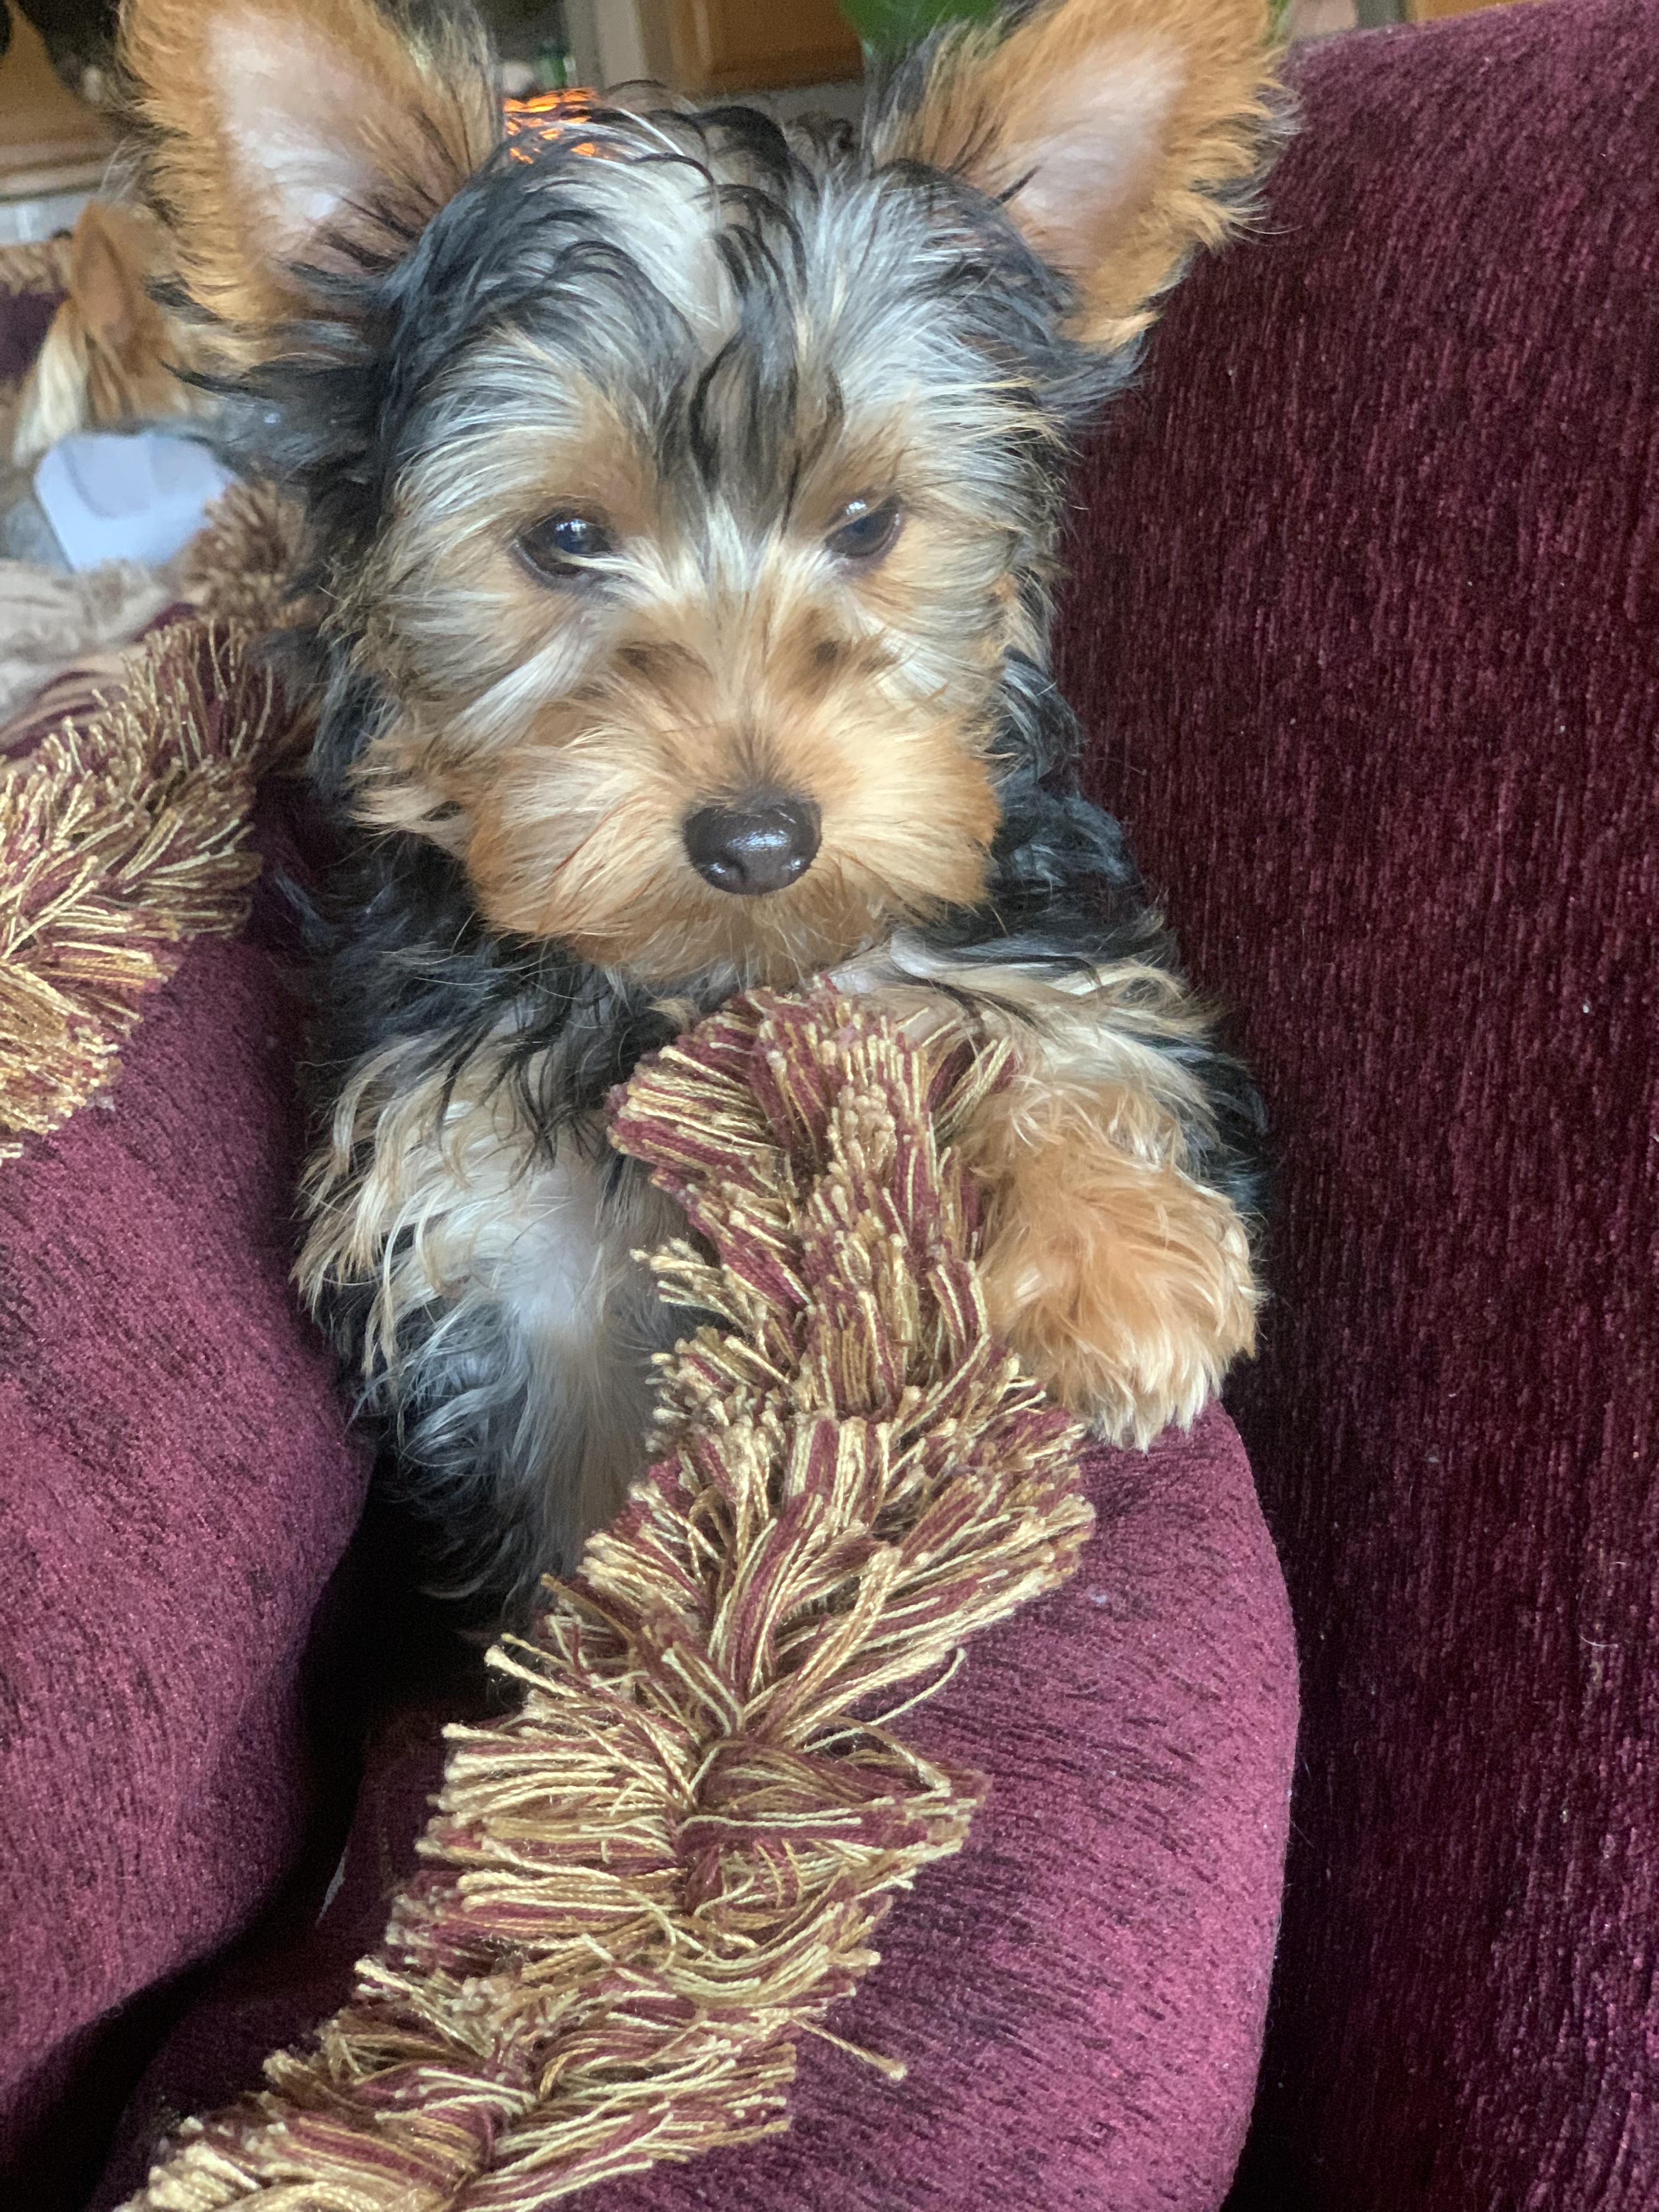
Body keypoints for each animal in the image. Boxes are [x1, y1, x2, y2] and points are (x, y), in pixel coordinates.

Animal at [117, 0, 1279, 1608]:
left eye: (868, 524)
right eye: (563, 539)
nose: (759, 838)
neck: (692, 980)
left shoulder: (1023, 923)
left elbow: (1069, 1032)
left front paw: (1121, 1276)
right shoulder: (494, 1238)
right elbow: (595, 1476)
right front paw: (640, 1637)